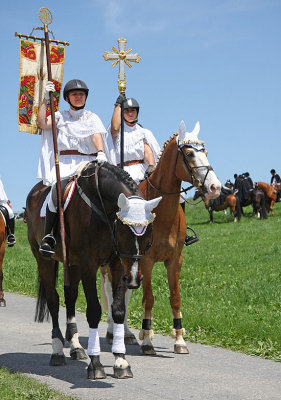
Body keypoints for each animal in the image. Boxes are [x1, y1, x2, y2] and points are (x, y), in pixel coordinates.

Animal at [26, 161, 162, 380]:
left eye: (148, 236)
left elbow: (118, 310)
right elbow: (93, 311)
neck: (102, 207)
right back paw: (57, 352)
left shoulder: (117, 263)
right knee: (53, 299)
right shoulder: (88, 264)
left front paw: (121, 361)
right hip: (43, 259)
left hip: (72, 263)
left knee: (70, 296)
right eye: (124, 232)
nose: (133, 279)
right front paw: (96, 364)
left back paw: (75, 347)